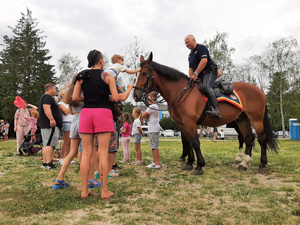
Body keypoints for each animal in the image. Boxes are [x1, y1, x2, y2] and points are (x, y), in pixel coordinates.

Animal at [134, 52, 278, 176]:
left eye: (144, 73)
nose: (136, 95)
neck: (181, 92)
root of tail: (260, 91)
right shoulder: (182, 124)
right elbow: (188, 142)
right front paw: (189, 162)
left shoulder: (190, 122)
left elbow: (195, 142)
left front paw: (199, 166)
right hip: (242, 119)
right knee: (248, 138)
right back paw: (244, 163)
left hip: (256, 119)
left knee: (261, 139)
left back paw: (262, 165)